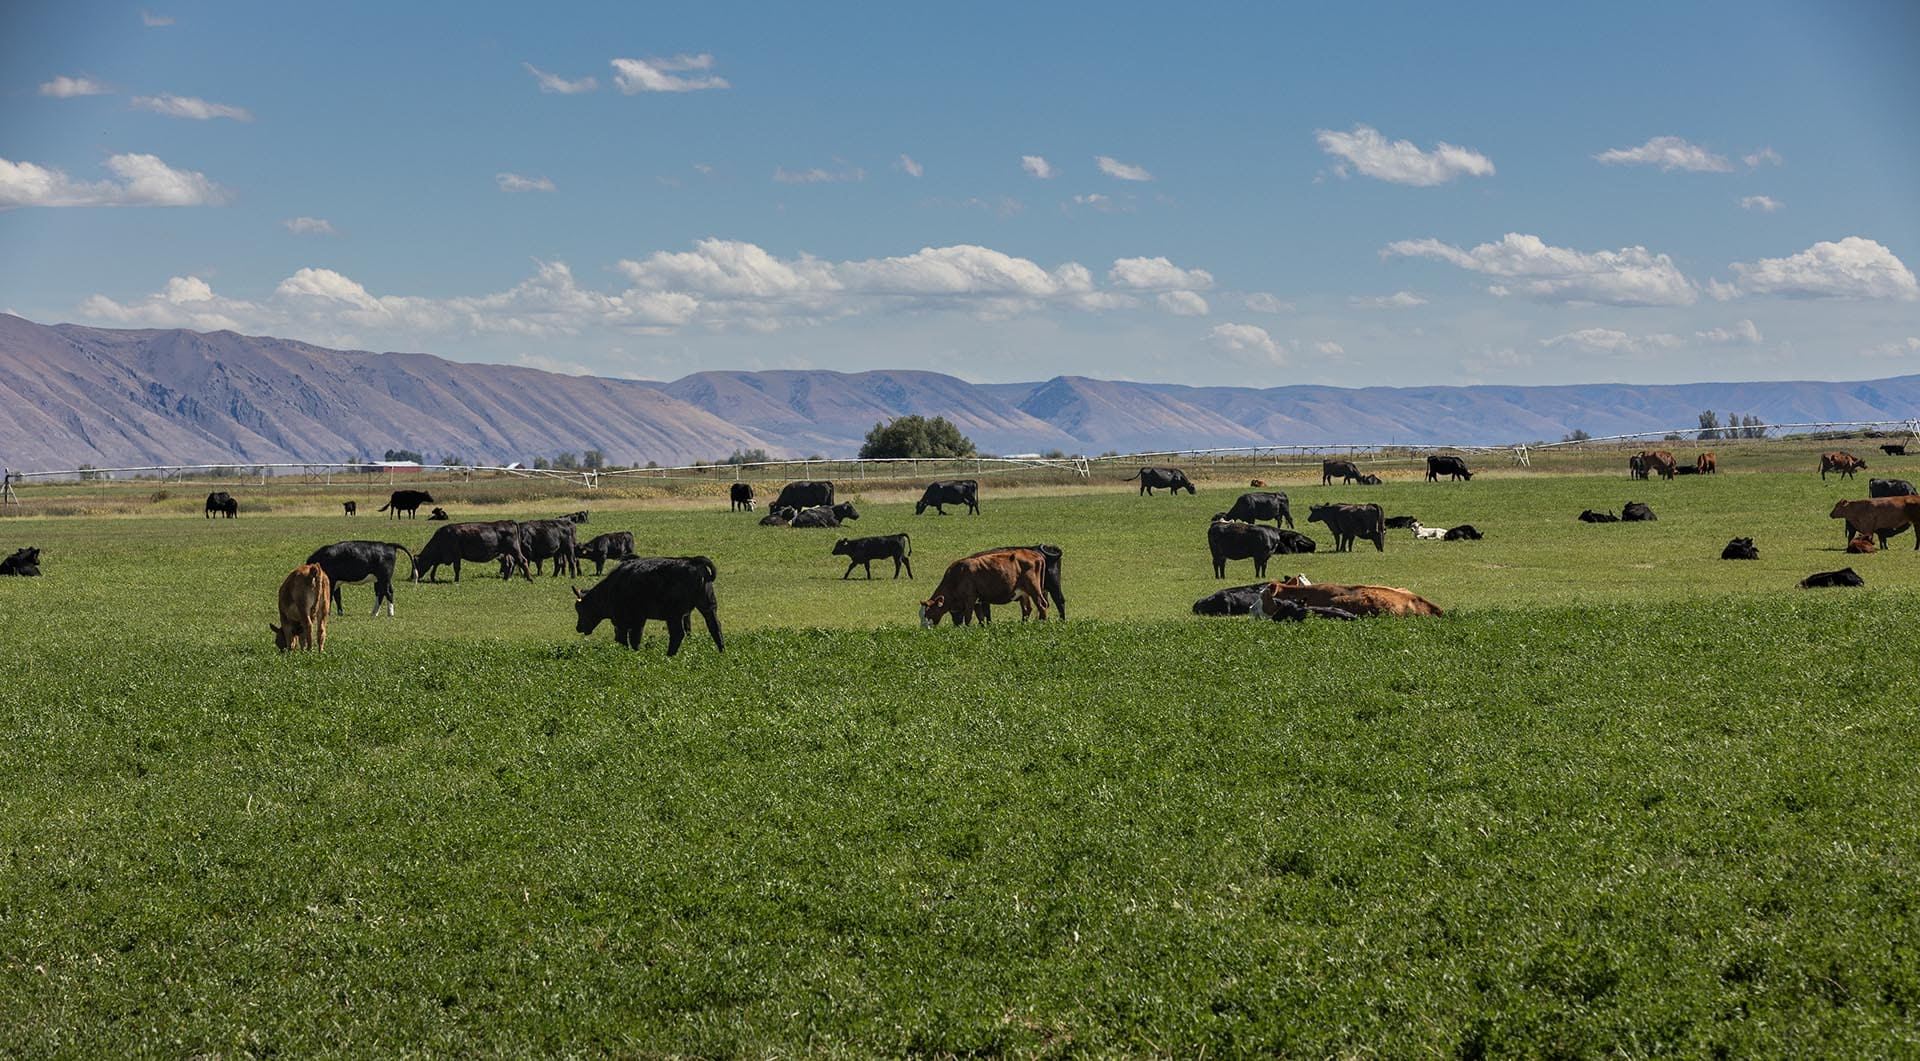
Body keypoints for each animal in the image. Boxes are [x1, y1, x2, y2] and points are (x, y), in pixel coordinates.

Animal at [572, 556, 723, 657]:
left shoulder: (631, 620)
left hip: (674, 615)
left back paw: (669, 655)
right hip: (708, 607)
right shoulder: (638, 620)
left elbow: (629, 639)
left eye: (581, 609)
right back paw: (721, 651)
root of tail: (693, 561)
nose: (578, 628)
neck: (611, 588)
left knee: (678, 634)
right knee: (715, 627)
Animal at [919, 548, 1048, 626]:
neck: (957, 576)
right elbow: (980, 617)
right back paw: (1023, 624)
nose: (924, 630)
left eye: (929, 613)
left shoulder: (970, 598)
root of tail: (1035, 554)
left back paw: (1042, 624)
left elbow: (968, 617)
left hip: (1034, 588)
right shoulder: (978, 601)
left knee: (1042, 604)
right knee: (1027, 609)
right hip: (1023, 592)